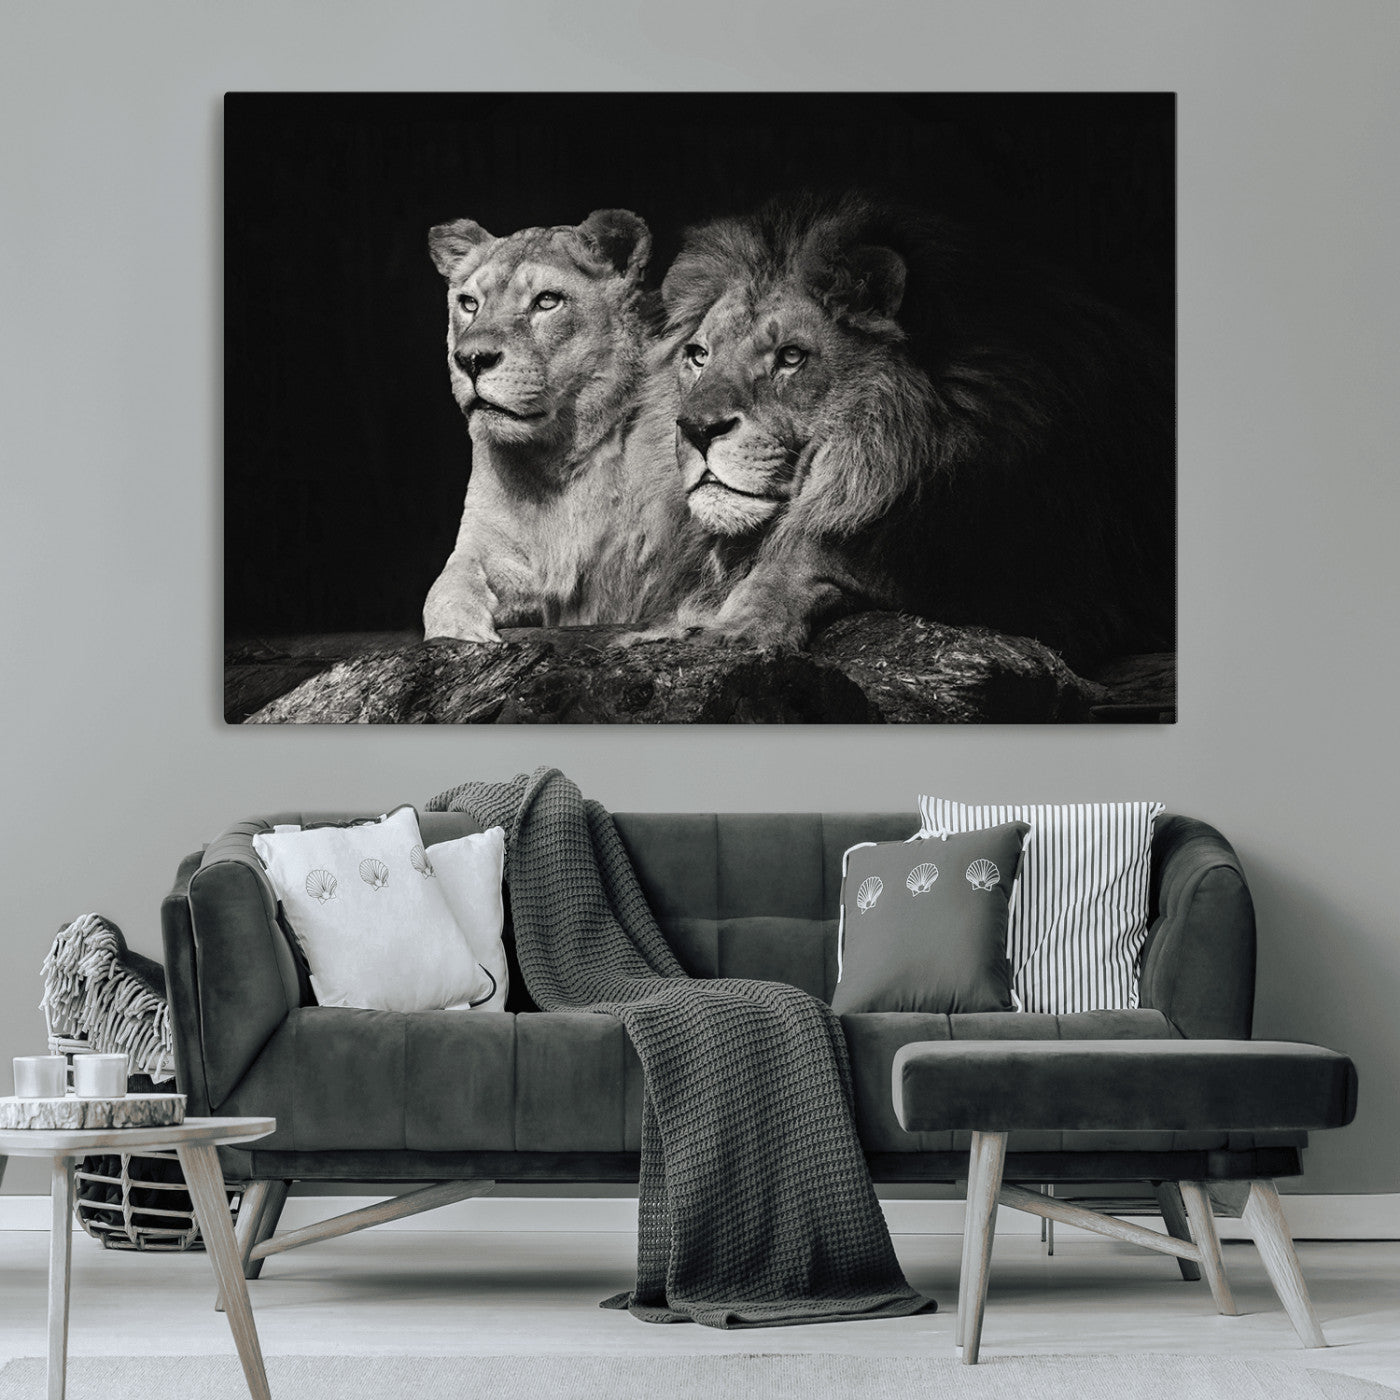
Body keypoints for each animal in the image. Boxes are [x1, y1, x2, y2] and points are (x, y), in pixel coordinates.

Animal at [423, 209, 708, 642]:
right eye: (469, 303)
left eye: (547, 301)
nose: (470, 360)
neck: (556, 461)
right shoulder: (487, 543)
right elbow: (445, 585)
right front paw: (461, 630)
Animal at [659, 193, 1175, 666]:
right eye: (698, 355)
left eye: (790, 356)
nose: (697, 429)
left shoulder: (1052, 587)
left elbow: (816, 550)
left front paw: (735, 624)